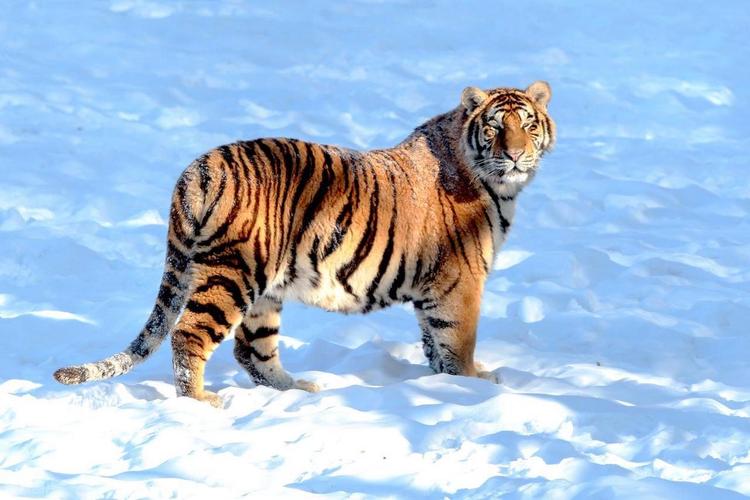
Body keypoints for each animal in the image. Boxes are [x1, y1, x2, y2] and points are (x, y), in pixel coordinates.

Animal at [54, 81, 556, 407]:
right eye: (495, 127)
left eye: (528, 125)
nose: (515, 153)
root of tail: (197, 169)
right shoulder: (460, 281)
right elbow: (459, 343)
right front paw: (474, 385)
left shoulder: (434, 289)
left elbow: (436, 344)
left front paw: (443, 383)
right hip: (233, 272)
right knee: (190, 335)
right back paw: (200, 402)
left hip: (263, 286)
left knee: (250, 348)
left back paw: (296, 390)